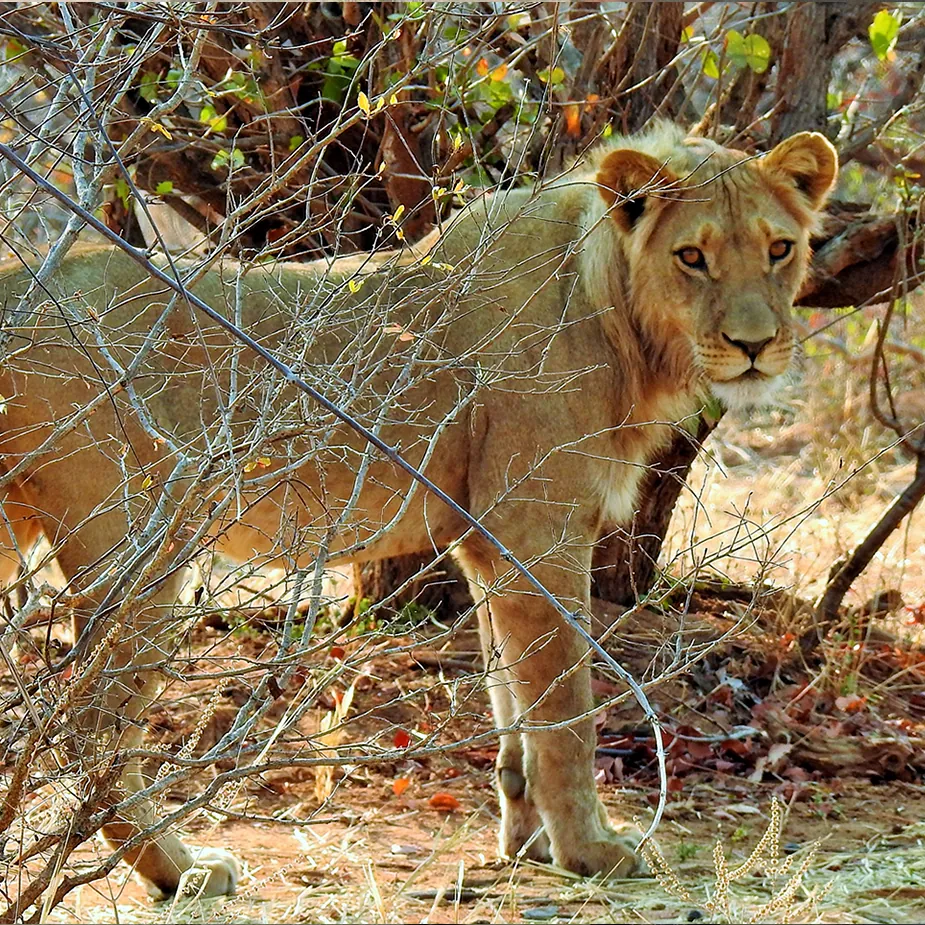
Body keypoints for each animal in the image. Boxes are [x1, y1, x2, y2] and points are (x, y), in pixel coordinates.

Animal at [0, 122, 836, 898]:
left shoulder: (486, 541)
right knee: (91, 725)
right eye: (691, 256)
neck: (615, 314)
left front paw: (529, 839)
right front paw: (589, 850)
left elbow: (509, 701)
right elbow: (563, 710)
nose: (755, 345)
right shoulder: (538, 533)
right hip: (137, 543)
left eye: (779, 248)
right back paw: (180, 868)